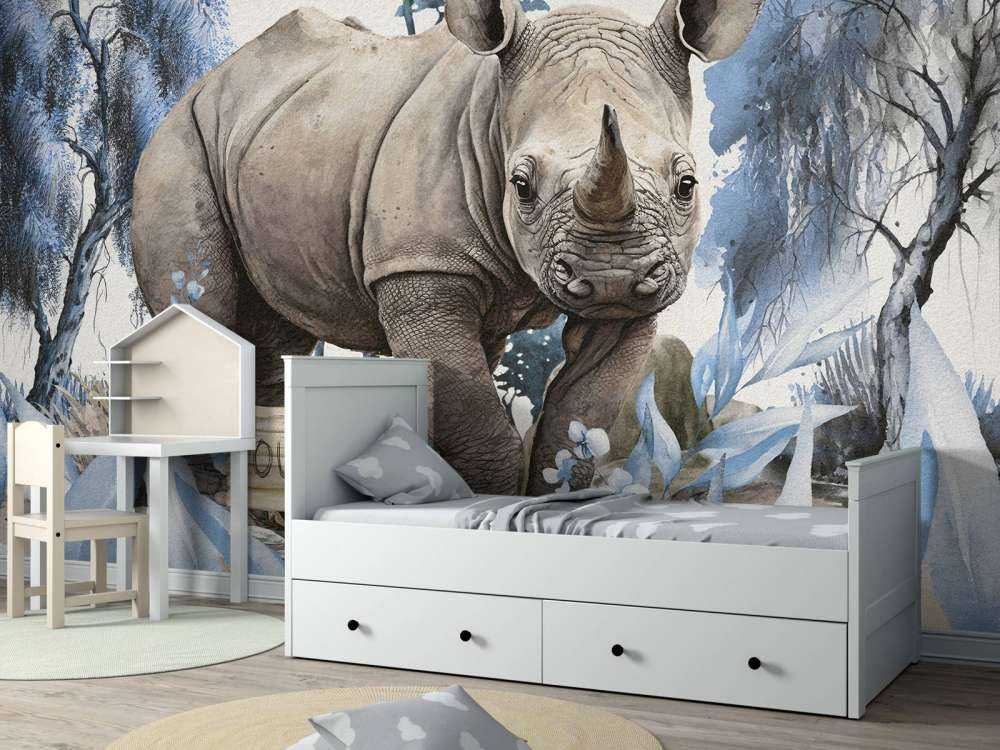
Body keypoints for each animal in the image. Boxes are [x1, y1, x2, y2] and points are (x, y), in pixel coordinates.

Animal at [131, 0, 761, 494]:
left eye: (686, 184)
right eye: (522, 186)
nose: (611, 277)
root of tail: (208, 79)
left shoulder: (637, 294)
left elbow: (579, 420)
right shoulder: (421, 268)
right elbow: (478, 426)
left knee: (274, 333)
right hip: (177, 140)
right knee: (203, 309)